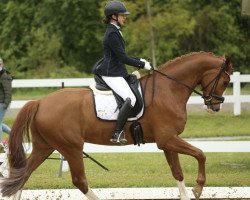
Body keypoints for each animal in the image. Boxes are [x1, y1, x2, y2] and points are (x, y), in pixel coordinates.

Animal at [0, 52, 232, 200]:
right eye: (225, 81)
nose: (215, 106)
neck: (168, 89)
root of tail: (39, 102)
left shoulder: (167, 141)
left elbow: (178, 173)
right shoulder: (167, 139)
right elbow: (201, 154)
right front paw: (198, 188)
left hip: (45, 146)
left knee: (23, 175)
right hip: (71, 147)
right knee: (79, 181)